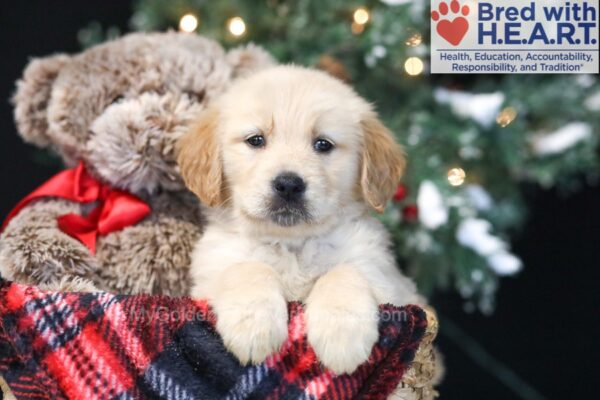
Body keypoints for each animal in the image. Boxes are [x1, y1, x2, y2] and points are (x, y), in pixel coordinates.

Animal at [178, 64, 422, 374]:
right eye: (256, 140)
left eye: (323, 144)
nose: (288, 185)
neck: (292, 245)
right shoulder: (212, 272)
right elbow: (249, 267)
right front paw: (254, 327)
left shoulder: (388, 281)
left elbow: (344, 272)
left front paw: (342, 336)